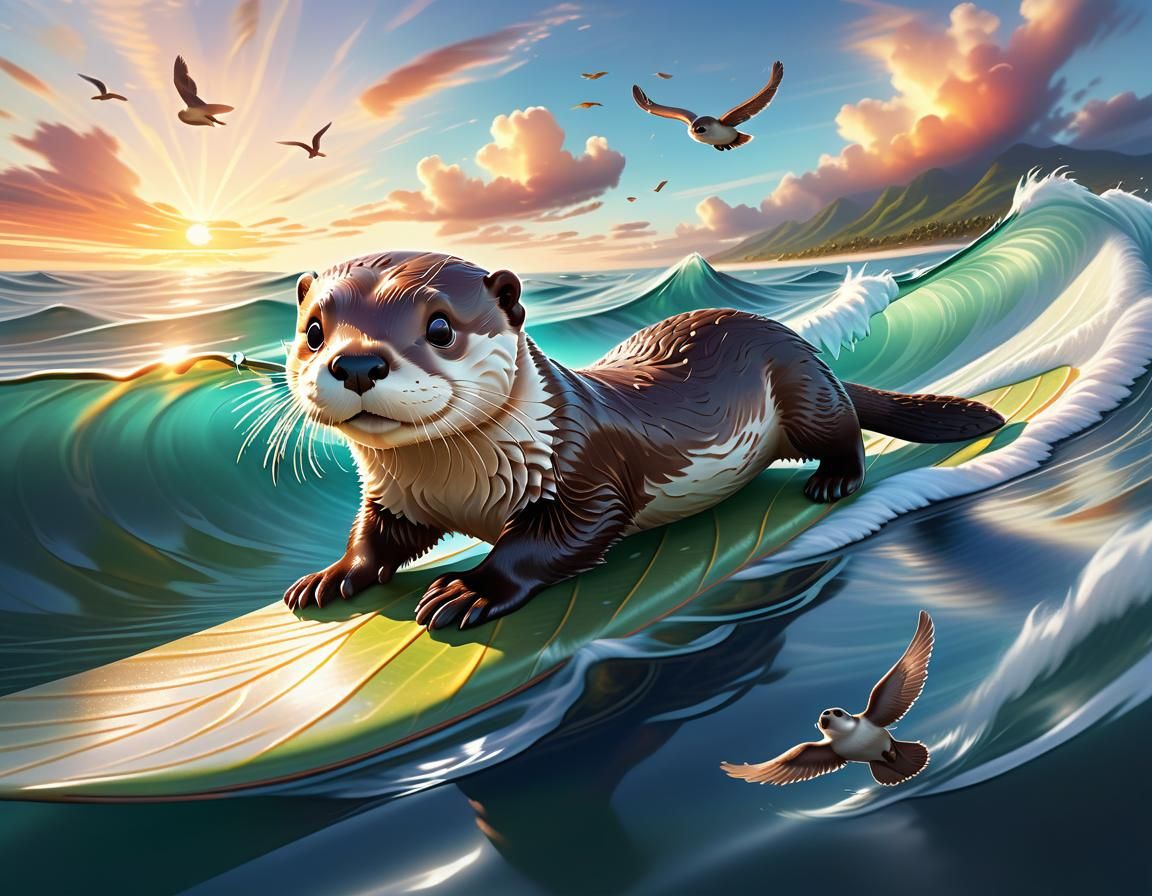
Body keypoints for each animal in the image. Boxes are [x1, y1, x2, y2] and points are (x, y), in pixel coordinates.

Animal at [282, 251, 1004, 629]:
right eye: (314, 331)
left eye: (440, 327)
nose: (356, 363)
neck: (459, 488)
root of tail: (802, 342)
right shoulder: (397, 497)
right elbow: (376, 536)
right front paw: (329, 577)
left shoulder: (583, 472)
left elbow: (553, 540)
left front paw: (471, 589)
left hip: (801, 390)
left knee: (845, 424)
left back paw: (833, 479)